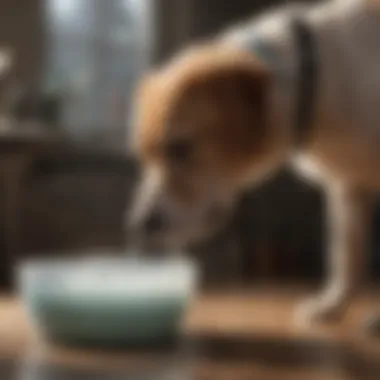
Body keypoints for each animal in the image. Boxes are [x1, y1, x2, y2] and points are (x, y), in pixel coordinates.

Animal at [129, 0, 380, 326]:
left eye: (181, 148)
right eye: (143, 157)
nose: (140, 224)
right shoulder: (348, 188)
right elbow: (346, 258)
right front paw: (332, 307)